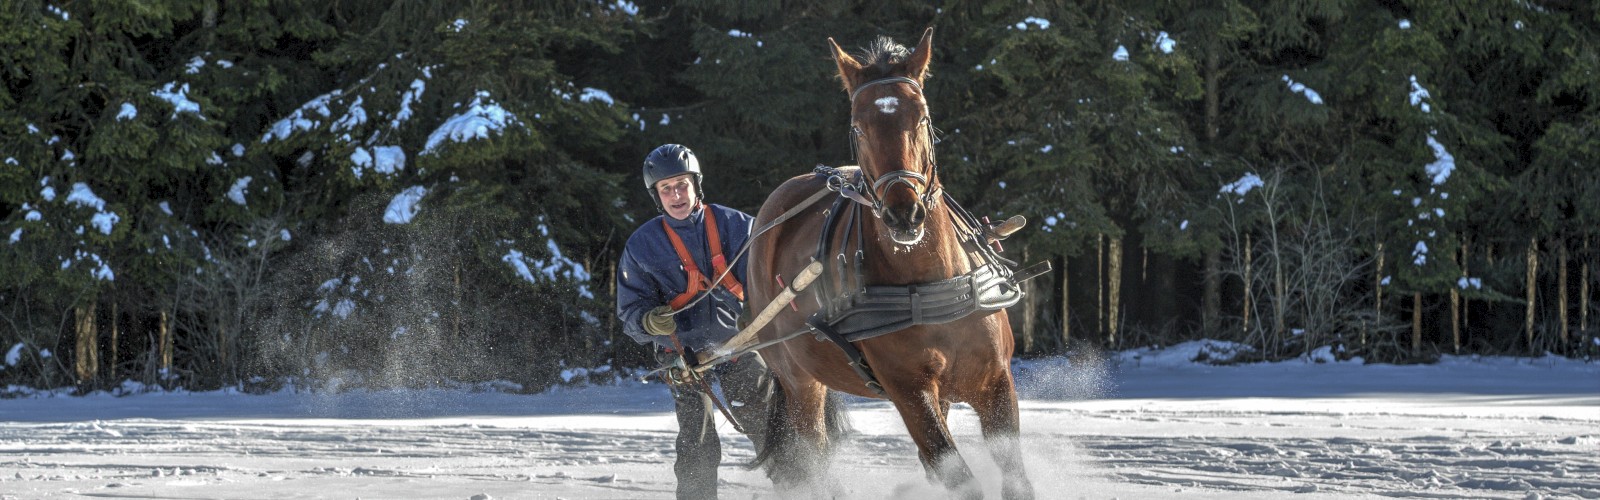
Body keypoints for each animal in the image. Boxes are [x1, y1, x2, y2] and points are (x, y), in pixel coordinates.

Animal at [747, 28, 1035, 499]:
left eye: (921, 118)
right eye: (857, 127)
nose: (905, 214)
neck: (931, 283)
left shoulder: (995, 381)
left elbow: (1015, 477)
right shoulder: (908, 391)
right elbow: (957, 473)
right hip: (798, 379)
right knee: (812, 451)